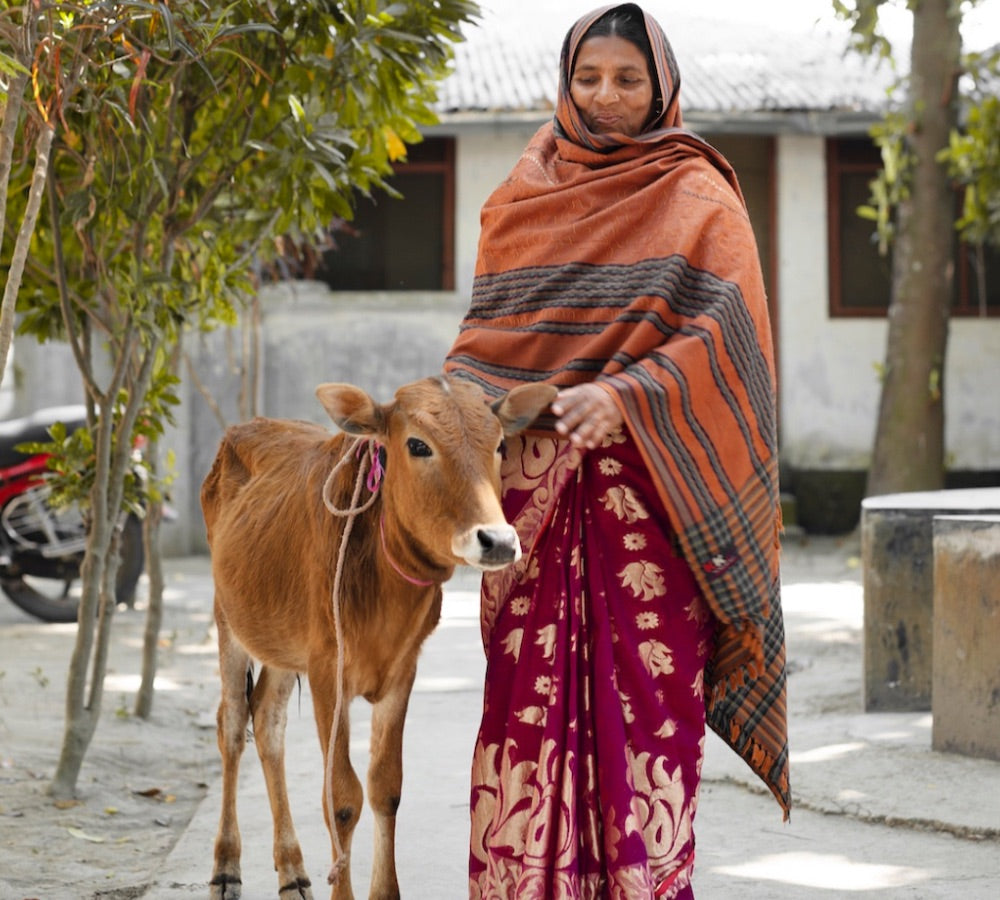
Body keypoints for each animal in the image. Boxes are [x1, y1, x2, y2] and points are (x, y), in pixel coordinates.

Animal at [201, 374, 556, 900]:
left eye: (498, 445)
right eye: (417, 445)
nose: (497, 541)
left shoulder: (401, 672)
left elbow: (386, 787)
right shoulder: (328, 673)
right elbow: (341, 797)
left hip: (282, 645)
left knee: (267, 721)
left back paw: (292, 870)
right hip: (229, 619)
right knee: (231, 726)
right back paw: (226, 867)